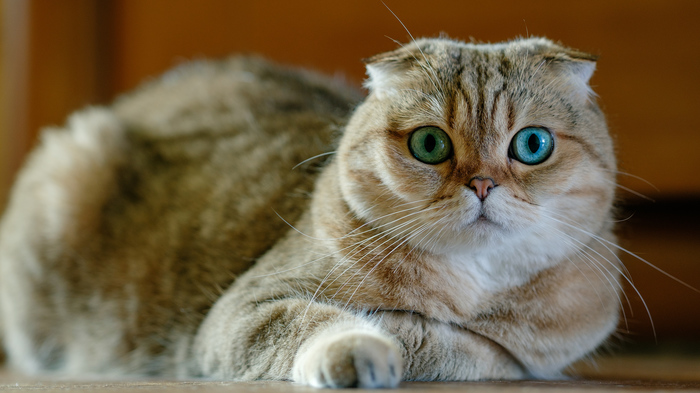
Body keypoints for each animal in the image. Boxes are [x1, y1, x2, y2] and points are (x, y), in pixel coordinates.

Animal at [1, 36, 624, 386]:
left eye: (532, 145)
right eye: (429, 144)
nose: (482, 184)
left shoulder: (530, 353)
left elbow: (463, 345)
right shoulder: (243, 311)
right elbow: (327, 322)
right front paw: (366, 343)